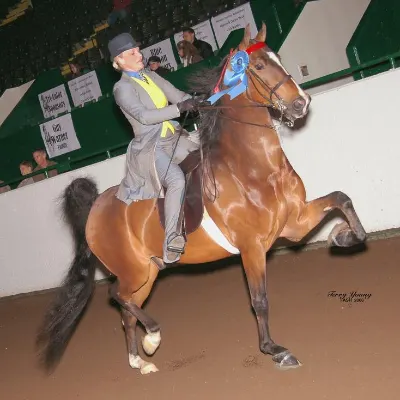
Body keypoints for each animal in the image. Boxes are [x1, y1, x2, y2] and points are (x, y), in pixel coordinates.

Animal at [36, 23, 368, 376]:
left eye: (278, 56)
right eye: (258, 65)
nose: (300, 104)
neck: (254, 168)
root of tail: (97, 205)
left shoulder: (294, 224)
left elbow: (341, 198)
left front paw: (343, 237)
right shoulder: (251, 246)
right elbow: (259, 299)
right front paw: (275, 350)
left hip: (147, 271)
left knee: (128, 308)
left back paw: (140, 360)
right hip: (133, 271)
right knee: (116, 296)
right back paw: (152, 337)